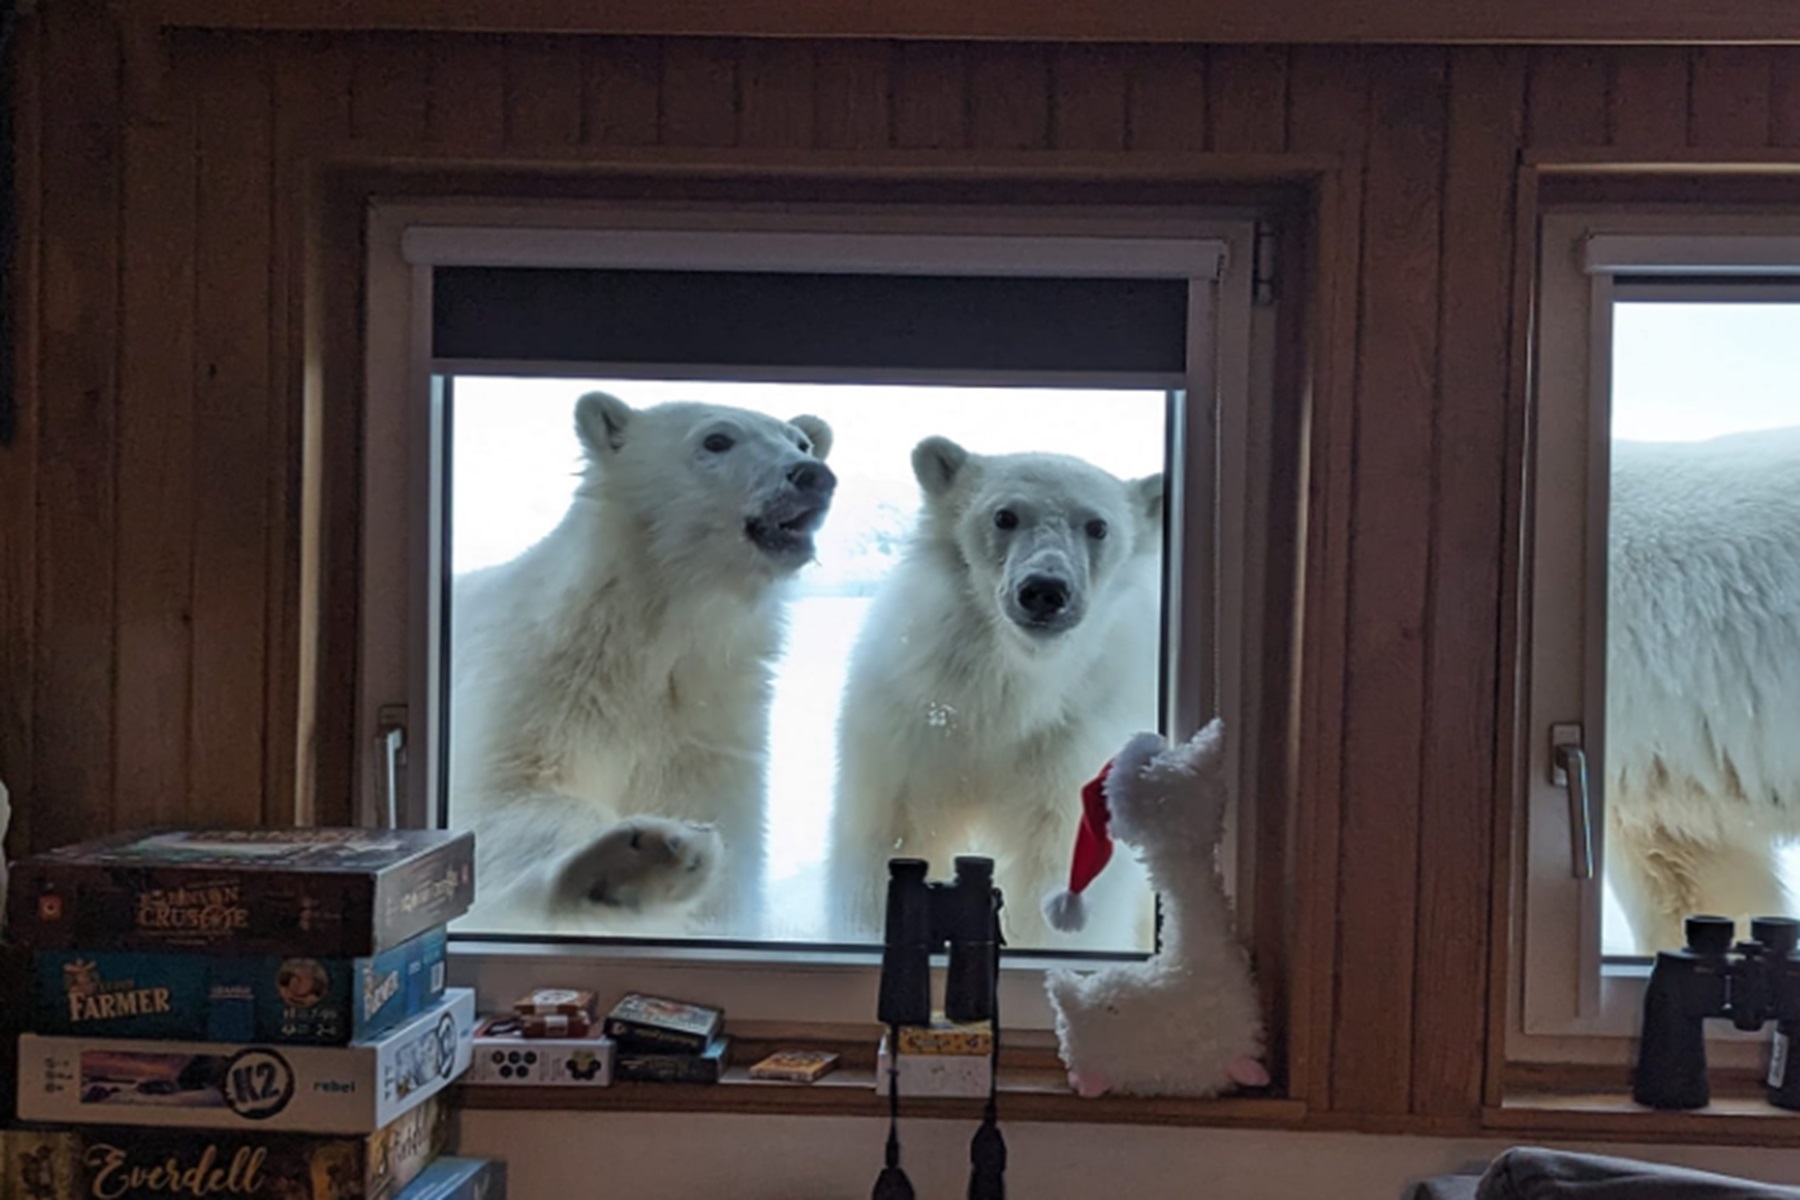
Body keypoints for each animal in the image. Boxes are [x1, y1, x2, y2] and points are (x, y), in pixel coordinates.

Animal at [453, 394, 838, 935]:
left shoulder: (707, 729)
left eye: (800, 441)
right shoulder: (532, 688)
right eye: (717, 439)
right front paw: (637, 860)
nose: (812, 475)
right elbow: (499, 800)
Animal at [831, 437, 1166, 949]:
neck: (1008, 690)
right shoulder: (913, 716)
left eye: (1098, 525)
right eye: (1004, 515)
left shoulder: (1075, 739)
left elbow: (1058, 861)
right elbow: (891, 835)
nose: (1045, 590)